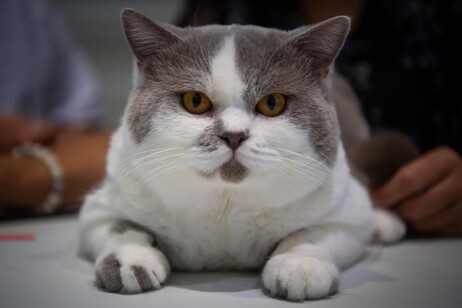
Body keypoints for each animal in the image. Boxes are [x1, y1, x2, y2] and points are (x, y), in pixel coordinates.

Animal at [77, 9, 406, 300]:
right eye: (195, 100)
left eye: (272, 103)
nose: (233, 135)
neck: (226, 204)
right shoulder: (101, 205)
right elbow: (123, 227)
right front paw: (130, 259)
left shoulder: (346, 216)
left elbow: (311, 235)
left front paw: (300, 266)